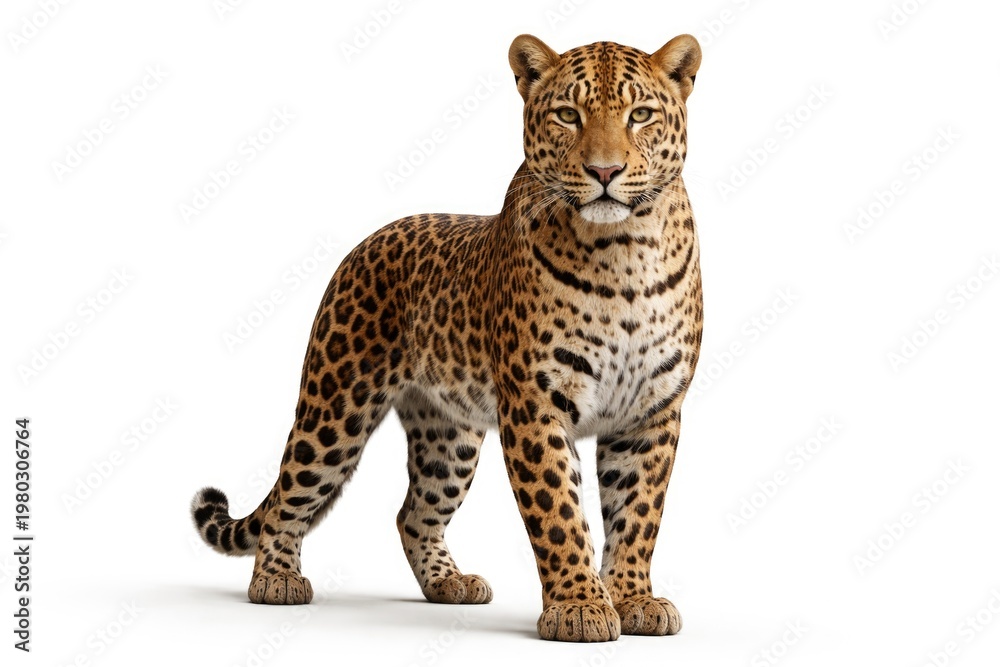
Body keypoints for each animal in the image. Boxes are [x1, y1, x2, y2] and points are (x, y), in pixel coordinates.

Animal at [191, 33, 703, 643]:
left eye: (640, 115)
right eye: (567, 115)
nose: (605, 170)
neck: (624, 248)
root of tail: (368, 240)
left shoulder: (652, 411)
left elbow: (638, 513)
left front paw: (631, 598)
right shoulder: (535, 405)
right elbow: (559, 513)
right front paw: (580, 606)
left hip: (448, 436)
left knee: (413, 513)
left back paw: (447, 584)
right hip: (335, 407)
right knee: (290, 493)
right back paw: (276, 580)